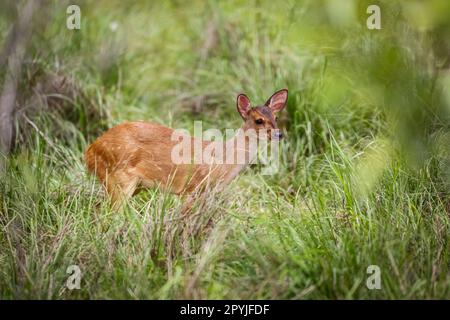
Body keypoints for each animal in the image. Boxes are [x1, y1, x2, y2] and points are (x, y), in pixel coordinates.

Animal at [85, 89, 288, 209]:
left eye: (276, 117)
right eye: (259, 120)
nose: (279, 134)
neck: (223, 160)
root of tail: (90, 150)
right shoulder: (192, 188)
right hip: (119, 179)